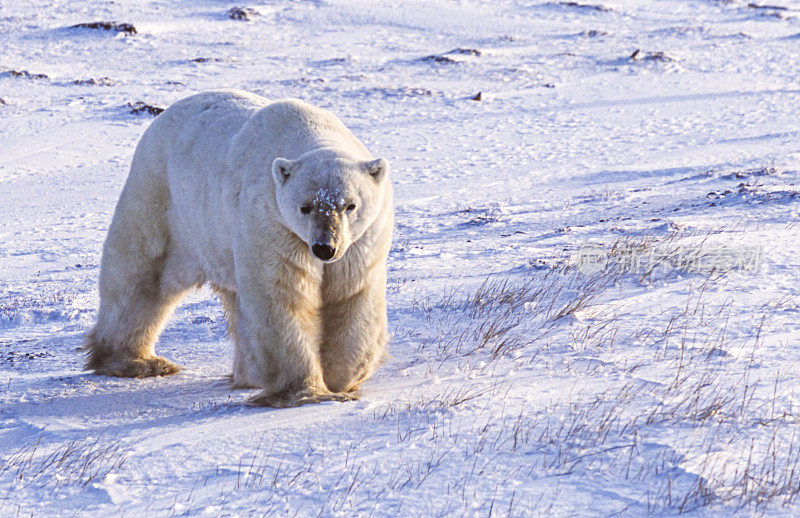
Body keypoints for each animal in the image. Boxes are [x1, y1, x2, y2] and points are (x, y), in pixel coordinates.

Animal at [86, 89, 394, 408]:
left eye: (350, 205)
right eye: (305, 207)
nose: (324, 248)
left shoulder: (361, 241)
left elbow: (351, 295)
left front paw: (342, 377)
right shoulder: (272, 224)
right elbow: (280, 297)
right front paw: (307, 392)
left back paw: (247, 375)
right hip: (164, 202)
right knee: (140, 276)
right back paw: (138, 362)